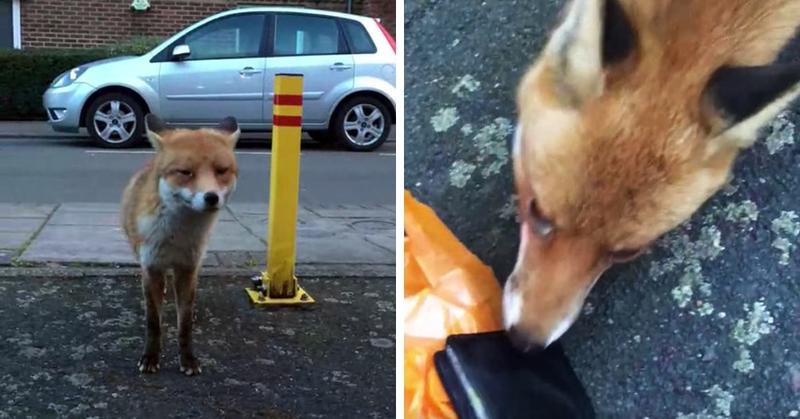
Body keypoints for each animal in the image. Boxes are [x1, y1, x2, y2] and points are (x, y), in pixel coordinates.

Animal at [119, 115, 238, 378]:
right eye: (185, 172)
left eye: (221, 171)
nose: (211, 197)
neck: (177, 236)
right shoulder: (152, 266)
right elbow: (153, 322)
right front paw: (151, 357)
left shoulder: (188, 267)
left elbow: (185, 325)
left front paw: (188, 359)